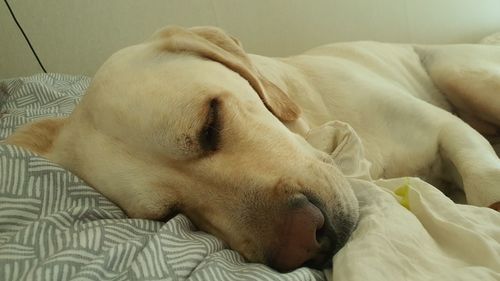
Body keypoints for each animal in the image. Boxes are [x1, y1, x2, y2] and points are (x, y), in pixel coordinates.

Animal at [4, 26, 500, 272]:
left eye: (210, 123)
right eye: (170, 214)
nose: (303, 243)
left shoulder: (444, 127)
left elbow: (482, 182)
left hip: (461, 74)